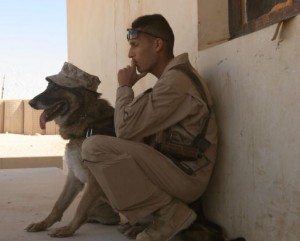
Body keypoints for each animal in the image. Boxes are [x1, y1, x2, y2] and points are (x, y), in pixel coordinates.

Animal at [25, 81, 119, 237]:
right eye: (48, 85)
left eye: (56, 87)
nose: (30, 103)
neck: (87, 124)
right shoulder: (74, 178)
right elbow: (58, 205)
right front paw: (42, 224)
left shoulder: (94, 181)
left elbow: (81, 208)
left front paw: (67, 230)